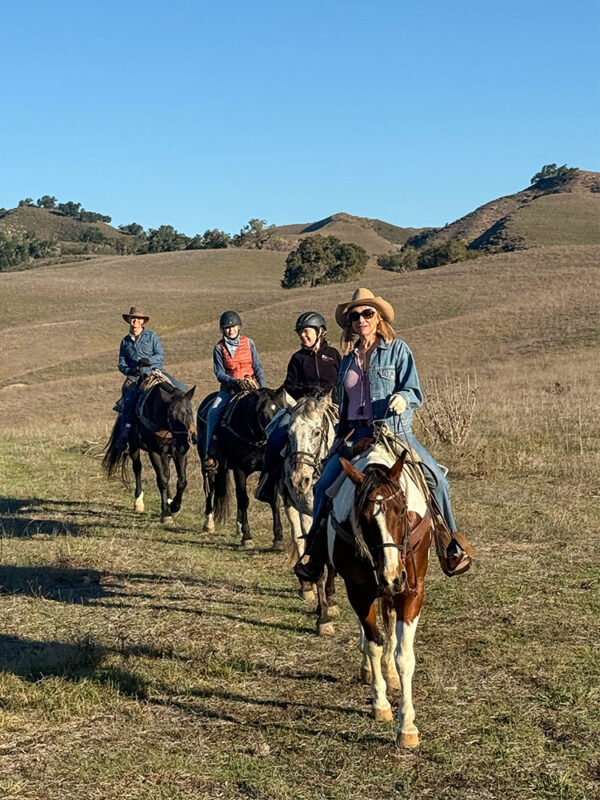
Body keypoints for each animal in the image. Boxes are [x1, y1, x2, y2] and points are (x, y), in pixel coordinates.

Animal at [103, 378, 196, 524]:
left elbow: (181, 481)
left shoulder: (178, 454)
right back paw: (138, 502)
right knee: (138, 468)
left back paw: (169, 499)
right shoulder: (155, 453)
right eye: (170, 414)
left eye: (189, 412)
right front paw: (166, 513)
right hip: (134, 448)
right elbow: (162, 480)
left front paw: (175, 506)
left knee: (167, 472)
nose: (183, 445)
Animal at [197, 386, 287, 548]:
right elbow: (243, 499)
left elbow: (274, 500)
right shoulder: (240, 469)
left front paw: (278, 538)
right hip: (209, 463)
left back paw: (238, 527)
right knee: (210, 488)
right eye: (261, 413)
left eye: (280, 411)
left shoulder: (271, 470)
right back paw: (209, 523)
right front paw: (247, 537)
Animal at [328, 443, 432, 748]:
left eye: (402, 509)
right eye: (363, 518)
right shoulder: (358, 592)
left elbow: (404, 656)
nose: (391, 576)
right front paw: (381, 704)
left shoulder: (412, 591)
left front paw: (407, 726)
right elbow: (374, 643)